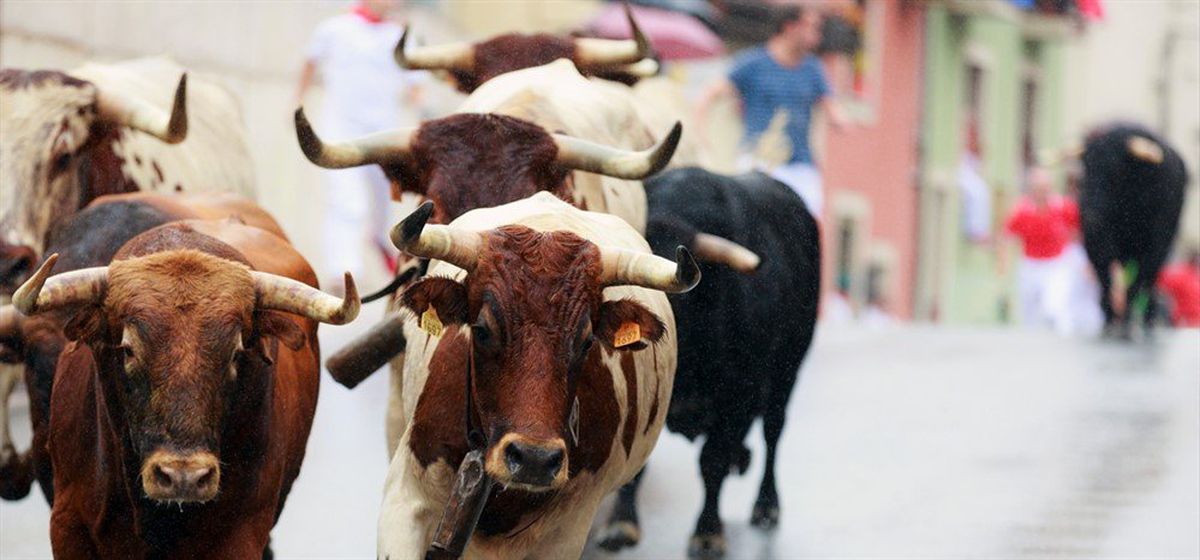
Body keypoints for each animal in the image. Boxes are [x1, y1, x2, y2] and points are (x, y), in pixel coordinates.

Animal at [596, 168, 821, 558]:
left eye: (674, 297)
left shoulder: (735, 398)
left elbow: (711, 462)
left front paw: (708, 532)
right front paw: (621, 525)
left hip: (788, 371)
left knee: (773, 431)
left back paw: (766, 505)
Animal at [1078, 124, 1188, 338]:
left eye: (1114, 171)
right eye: (1086, 167)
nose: (1089, 214)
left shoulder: (1153, 246)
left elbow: (1138, 281)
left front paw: (1126, 322)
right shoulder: (1095, 244)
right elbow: (1105, 279)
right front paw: (1109, 319)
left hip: (1162, 248)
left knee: (1150, 279)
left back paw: (1147, 319)